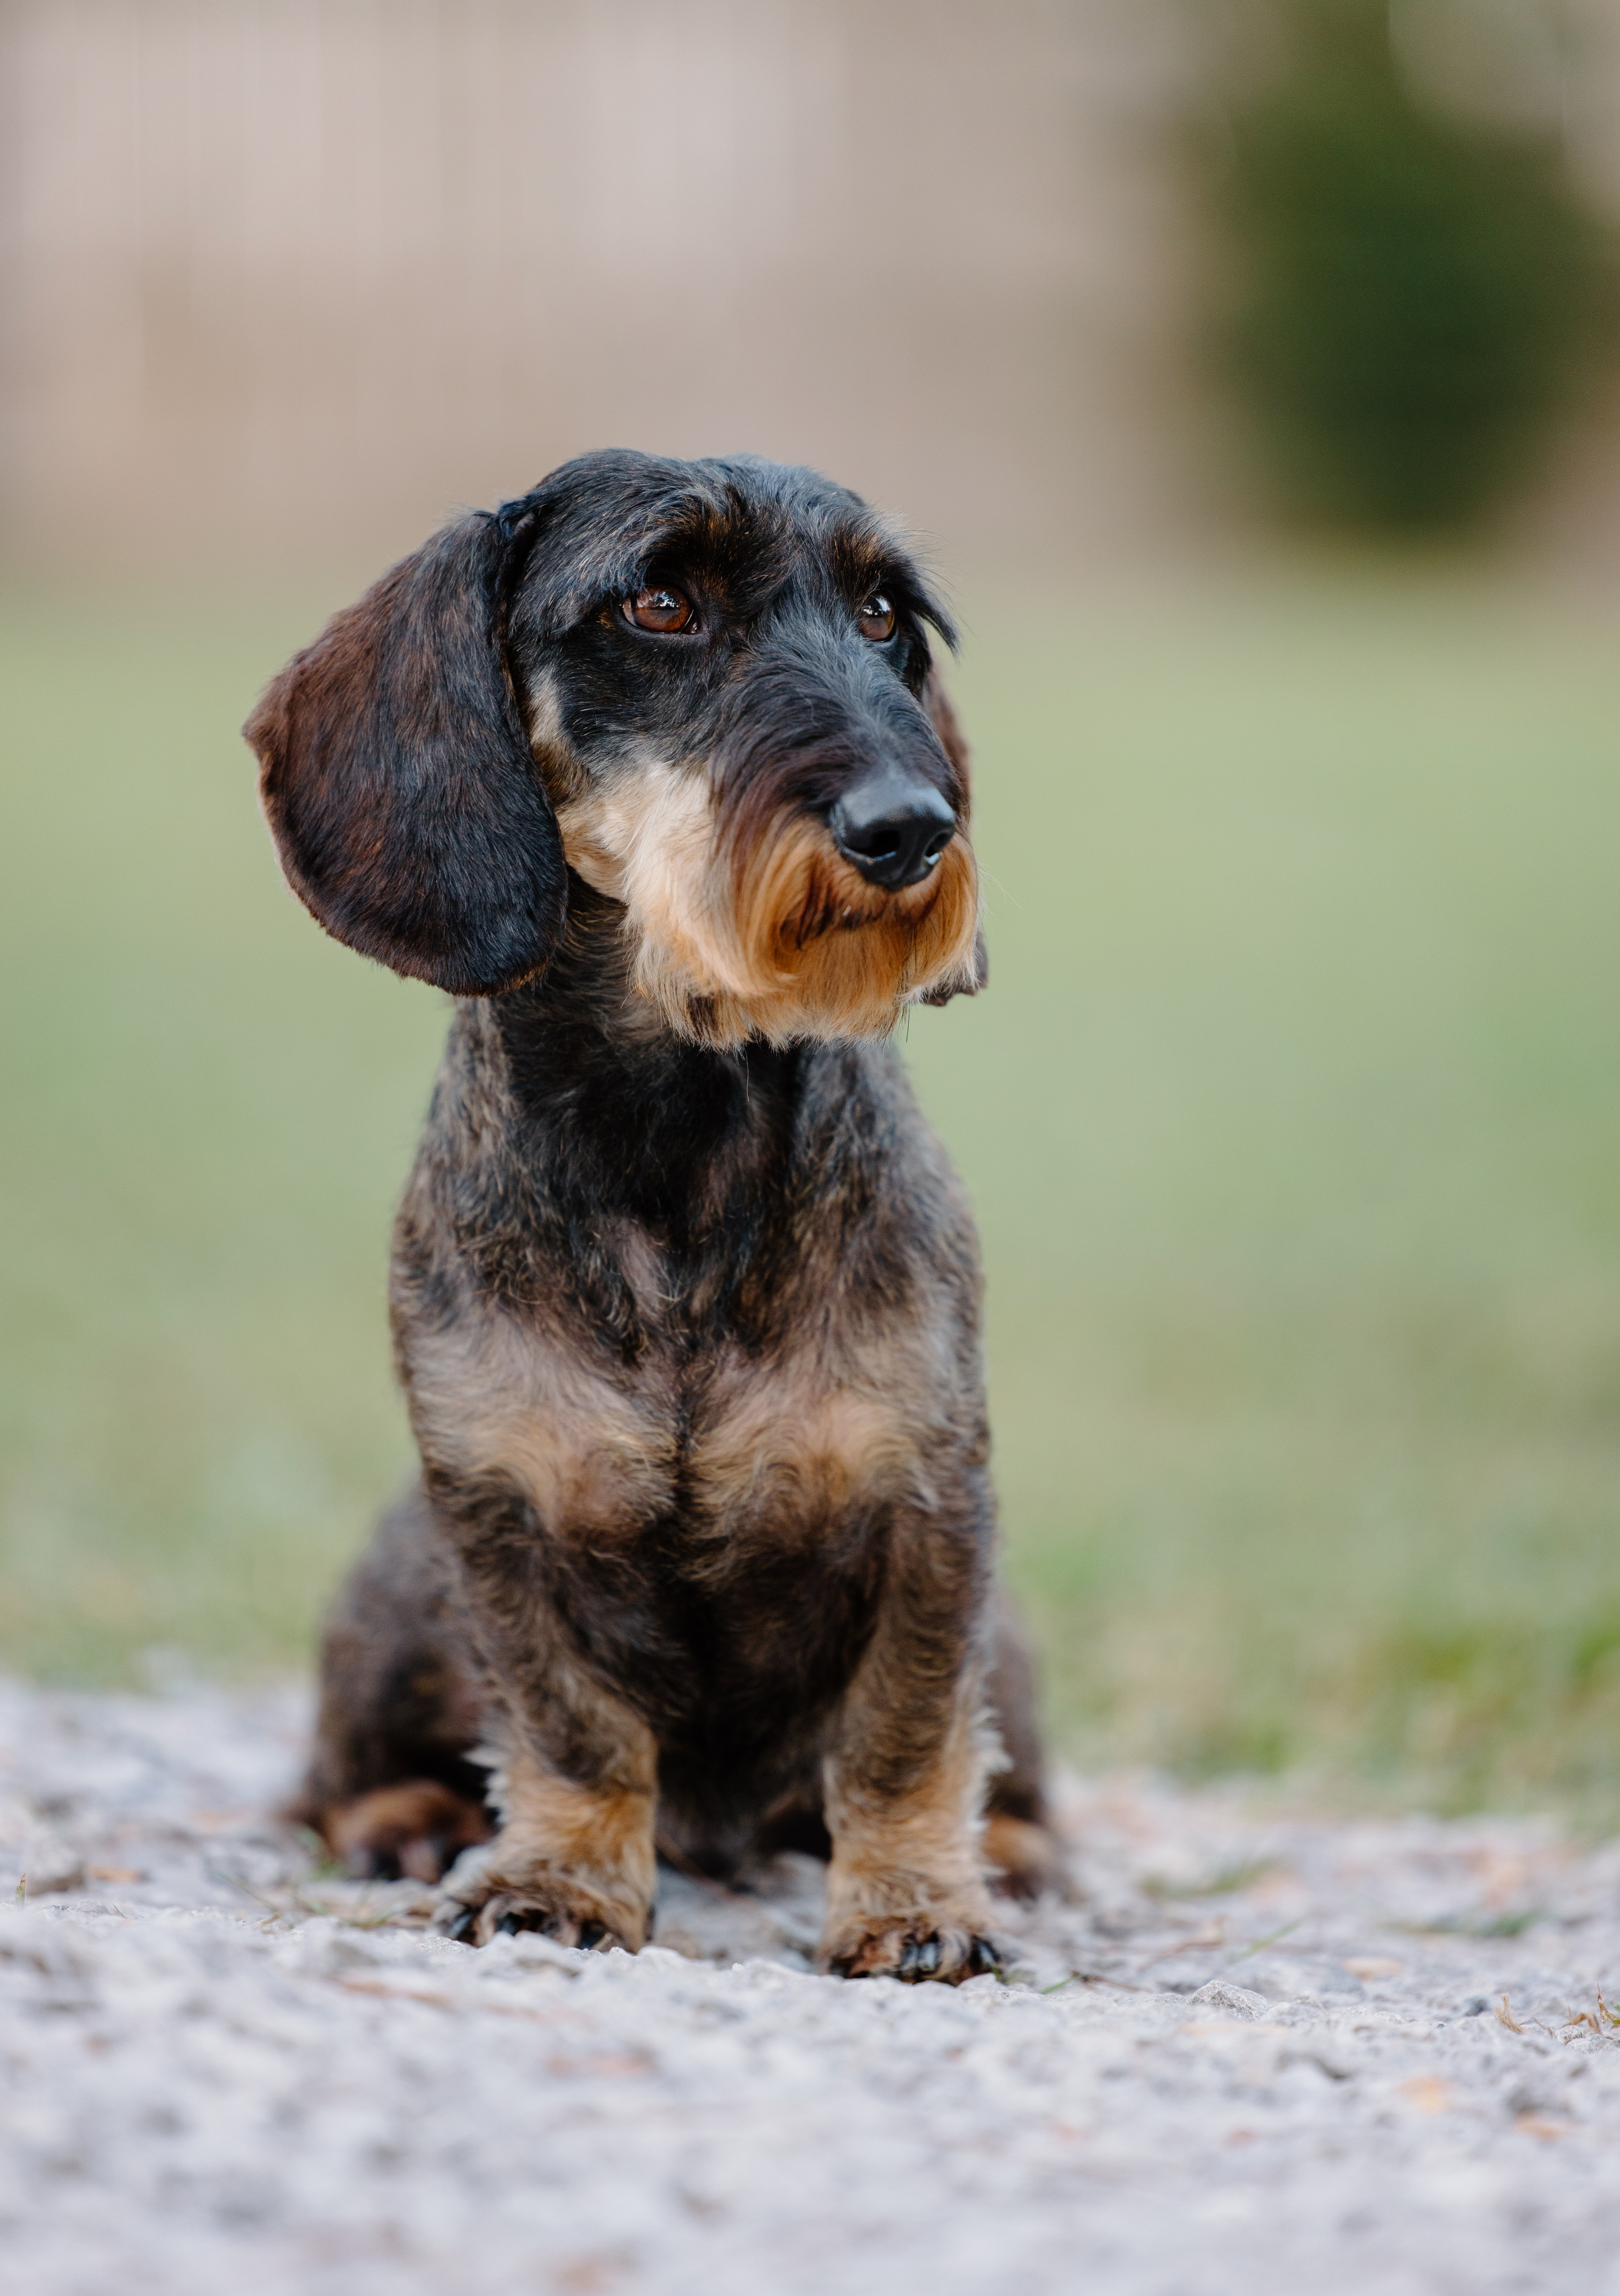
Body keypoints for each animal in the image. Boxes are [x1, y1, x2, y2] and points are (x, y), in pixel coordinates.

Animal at [245, 452, 1060, 1993]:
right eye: (662, 603)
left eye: (882, 614)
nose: (910, 828)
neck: (675, 1140)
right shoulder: (496, 1511)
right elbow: (569, 1729)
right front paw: (559, 1878)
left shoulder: (931, 1506)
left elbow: (904, 1734)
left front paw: (915, 1903)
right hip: (390, 1598)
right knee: (319, 1783)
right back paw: (403, 1820)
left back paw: (1020, 1848)